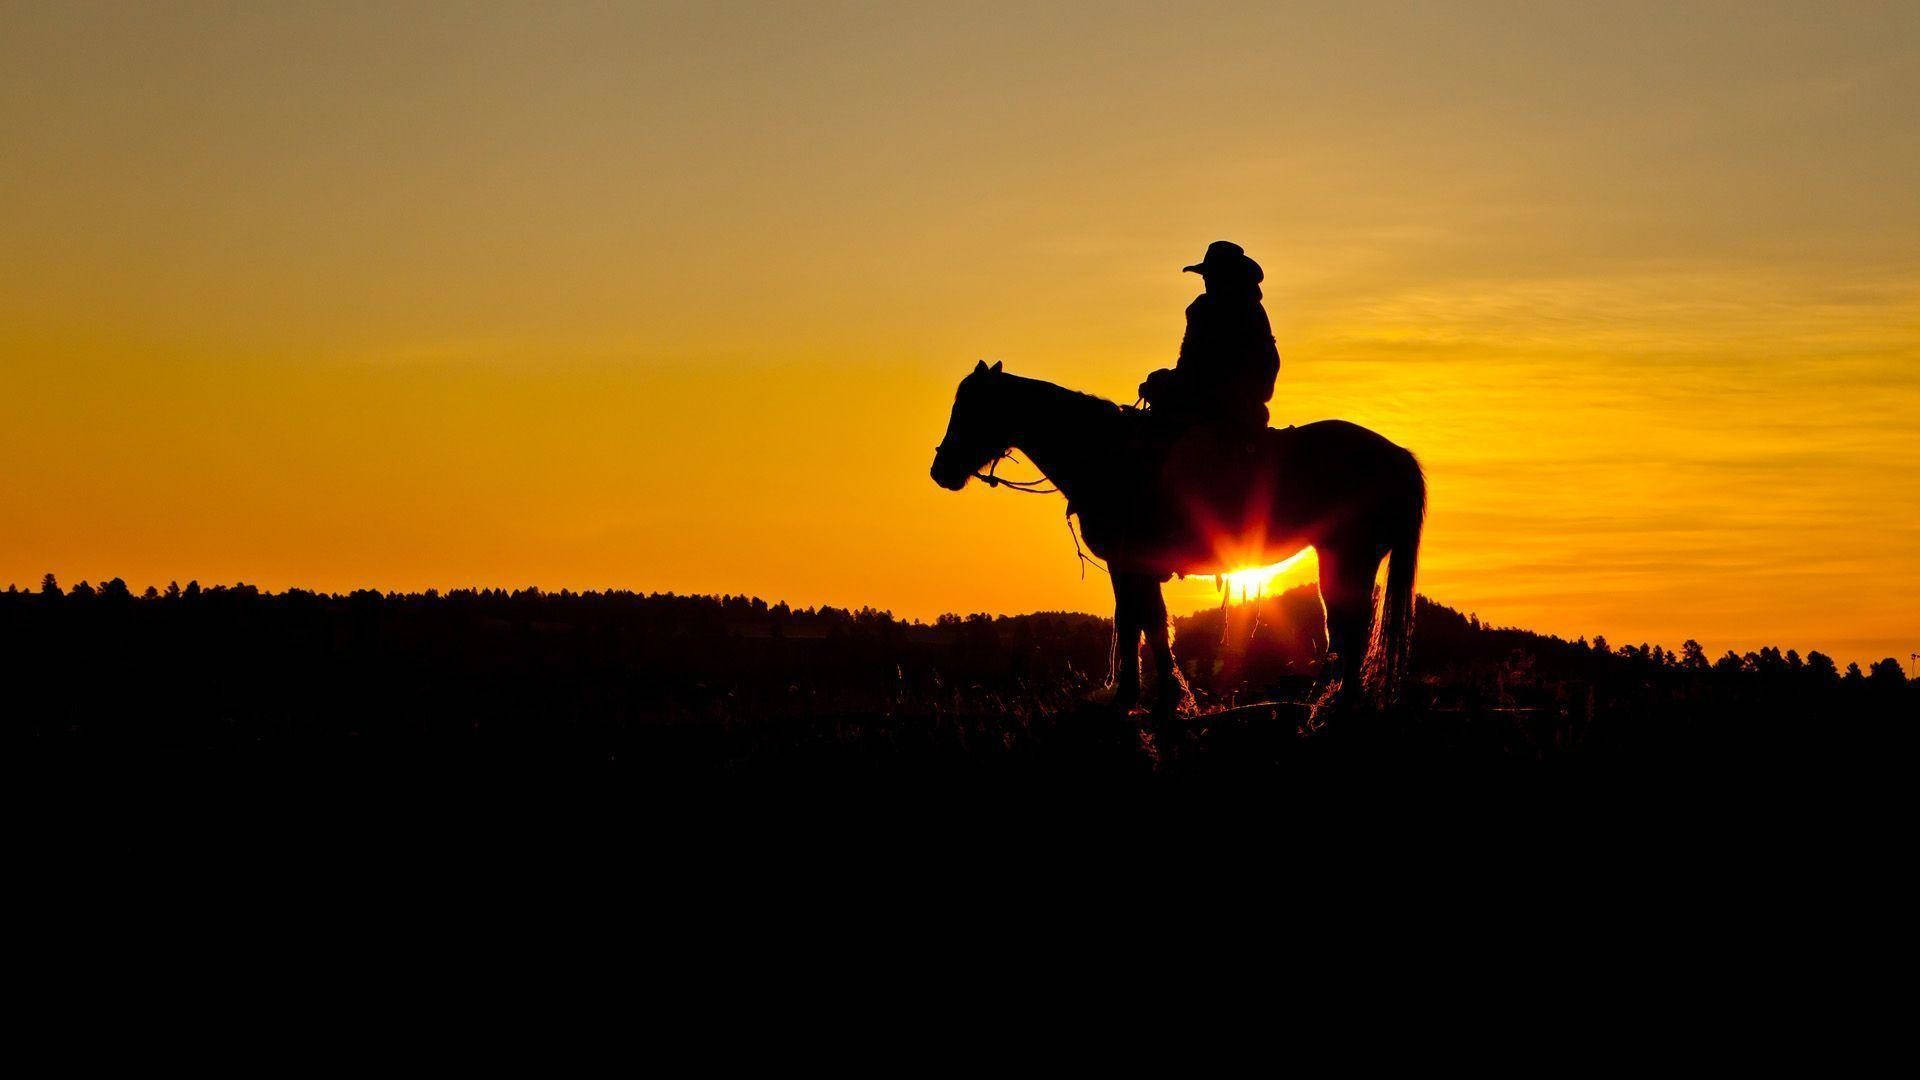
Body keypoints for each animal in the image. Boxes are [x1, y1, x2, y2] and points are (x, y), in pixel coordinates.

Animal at [933, 357, 1428, 718]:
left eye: (970, 408)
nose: (941, 471)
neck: (1106, 454)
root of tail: (1396, 456)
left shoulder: (1130, 563)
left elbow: (1140, 623)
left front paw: (1147, 697)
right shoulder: (1132, 566)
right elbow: (1141, 623)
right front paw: (1152, 695)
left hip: (1349, 556)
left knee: (1352, 622)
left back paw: (1341, 700)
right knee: (1344, 623)